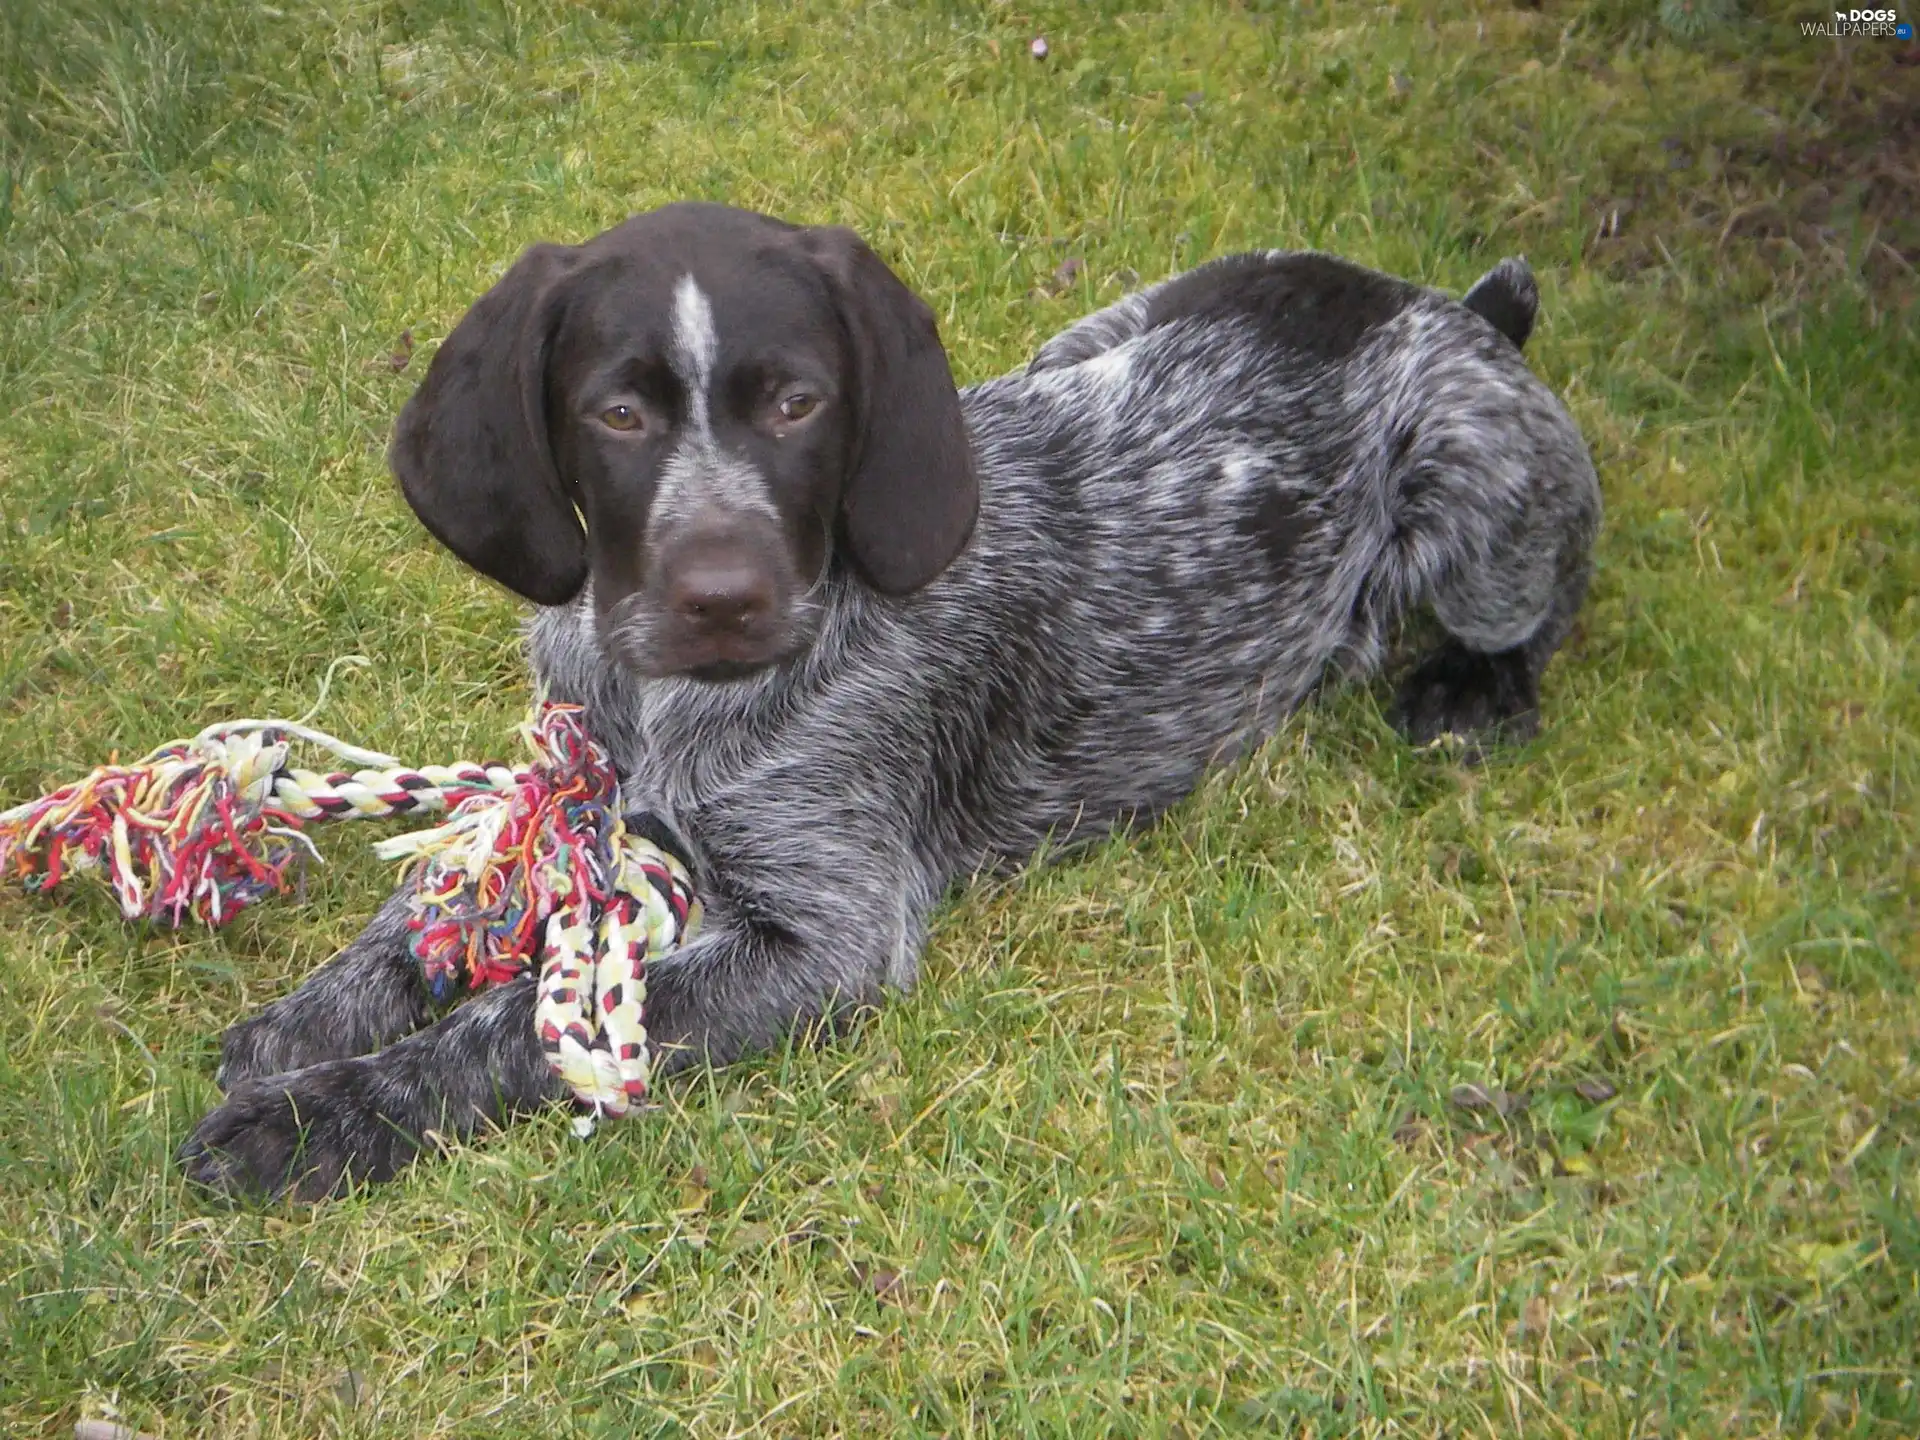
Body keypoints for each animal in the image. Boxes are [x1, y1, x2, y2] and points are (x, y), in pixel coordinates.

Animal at [180, 197, 1597, 1198]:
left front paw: (320, 1117)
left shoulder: (823, 938)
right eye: (617, 413)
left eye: (799, 403)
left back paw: (1471, 690)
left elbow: (520, 1028)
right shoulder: (574, 789)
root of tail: (1446, 301)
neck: (663, 697)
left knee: (1546, 595)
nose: (724, 594)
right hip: (1104, 330)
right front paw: (311, 1022)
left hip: (1476, 474)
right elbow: (439, 892)